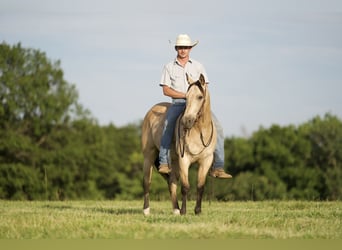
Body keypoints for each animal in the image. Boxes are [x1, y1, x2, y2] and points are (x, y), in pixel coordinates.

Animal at [142, 73, 216, 215]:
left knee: (172, 182)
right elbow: (185, 187)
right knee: (147, 182)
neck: (199, 131)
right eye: (186, 98)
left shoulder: (206, 160)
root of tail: (152, 110)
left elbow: (200, 186)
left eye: (200, 97)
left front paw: (197, 211)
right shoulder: (184, 159)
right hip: (149, 155)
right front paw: (184, 211)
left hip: (174, 161)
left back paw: (175, 209)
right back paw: (146, 210)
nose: (187, 121)